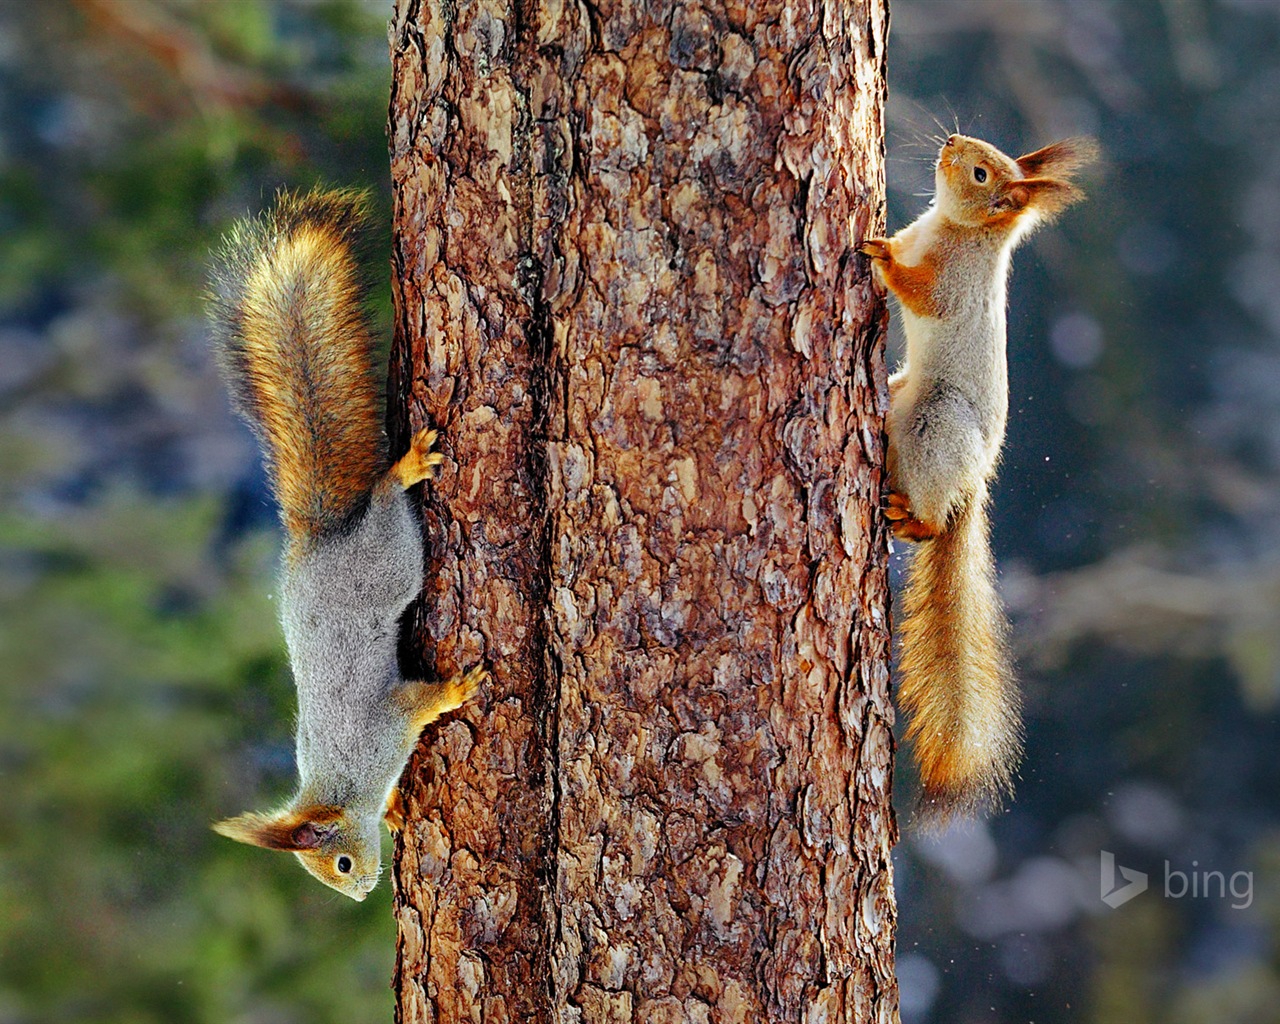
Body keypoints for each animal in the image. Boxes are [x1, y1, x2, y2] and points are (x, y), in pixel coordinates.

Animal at [207, 188, 481, 901]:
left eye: (341, 866)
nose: (360, 894)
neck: (343, 783)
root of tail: (323, 540)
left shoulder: (382, 728)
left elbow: (419, 703)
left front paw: (457, 689)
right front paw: (397, 809)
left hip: (389, 559)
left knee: (385, 500)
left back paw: (404, 469)